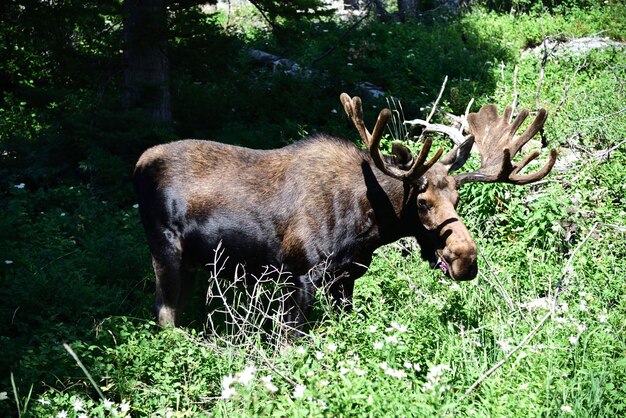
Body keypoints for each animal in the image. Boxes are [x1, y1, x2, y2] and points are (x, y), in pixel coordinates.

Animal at [133, 93, 556, 334]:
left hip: (191, 262)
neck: (368, 225)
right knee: (164, 314)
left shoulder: (347, 277)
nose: (465, 258)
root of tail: (137, 165)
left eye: (457, 198)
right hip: (165, 250)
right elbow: (293, 340)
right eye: (422, 202)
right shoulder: (300, 276)